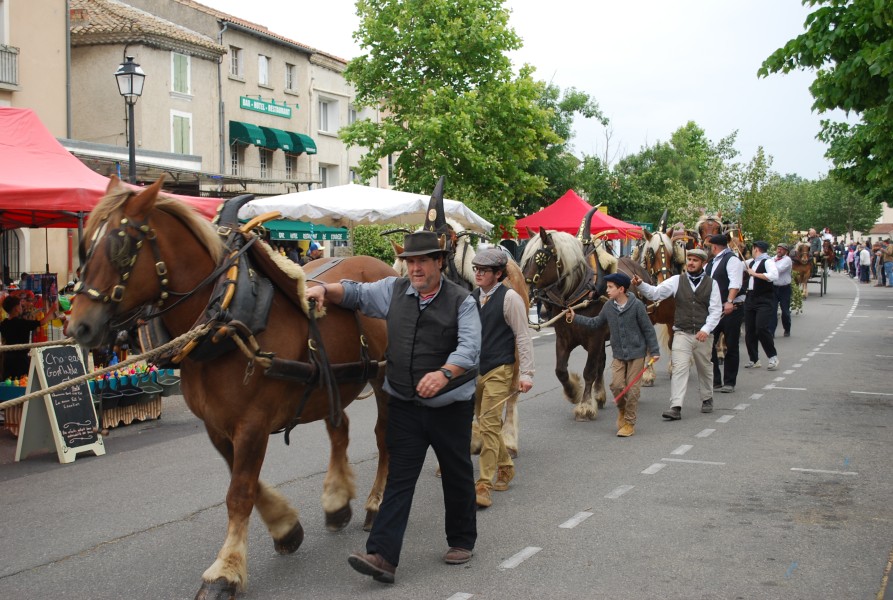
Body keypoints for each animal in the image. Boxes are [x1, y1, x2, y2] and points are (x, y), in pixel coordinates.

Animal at [66, 176, 394, 596]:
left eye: (121, 246)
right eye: (85, 245)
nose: (78, 326)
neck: (224, 317)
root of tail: (381, 266)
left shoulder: (252, 423)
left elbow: (239, 493)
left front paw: (225, 571)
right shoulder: (216, 424)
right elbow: (244, 483)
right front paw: (286, 527)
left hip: (383, 378)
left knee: (384, 436)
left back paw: (376, 502)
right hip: (327, 382)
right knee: (341, 431)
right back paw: (337, 502)